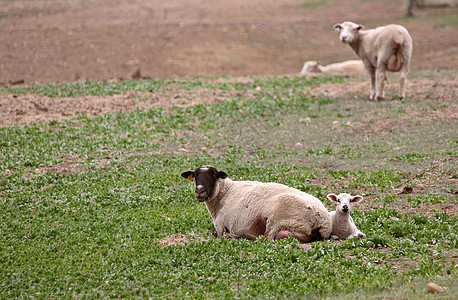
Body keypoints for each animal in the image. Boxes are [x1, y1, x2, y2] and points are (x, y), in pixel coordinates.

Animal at [181, 165, 330, 243]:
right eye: (195, 175)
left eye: (213, 175)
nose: (199, 191)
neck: (224, 193)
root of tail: (324, 222)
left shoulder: (220, 227)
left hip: (278, 220)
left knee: (267, 238)